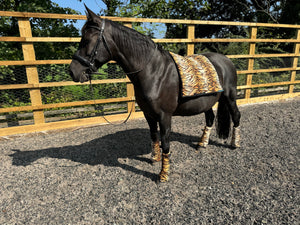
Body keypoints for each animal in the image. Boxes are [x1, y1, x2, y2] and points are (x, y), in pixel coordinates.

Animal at [69, 7, 240, 182]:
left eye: (87, 40)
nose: (72, 71)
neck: (153, 71)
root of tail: (226, 60)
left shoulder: (165, 116)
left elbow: (165, 142)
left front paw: (163, 174)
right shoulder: (149, 114)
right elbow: (153, 135)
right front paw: (155, 159)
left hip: (230, 97)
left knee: (236, 115)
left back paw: (235, 144)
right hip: (207, 101)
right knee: (210, 118)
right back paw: (202, 144)